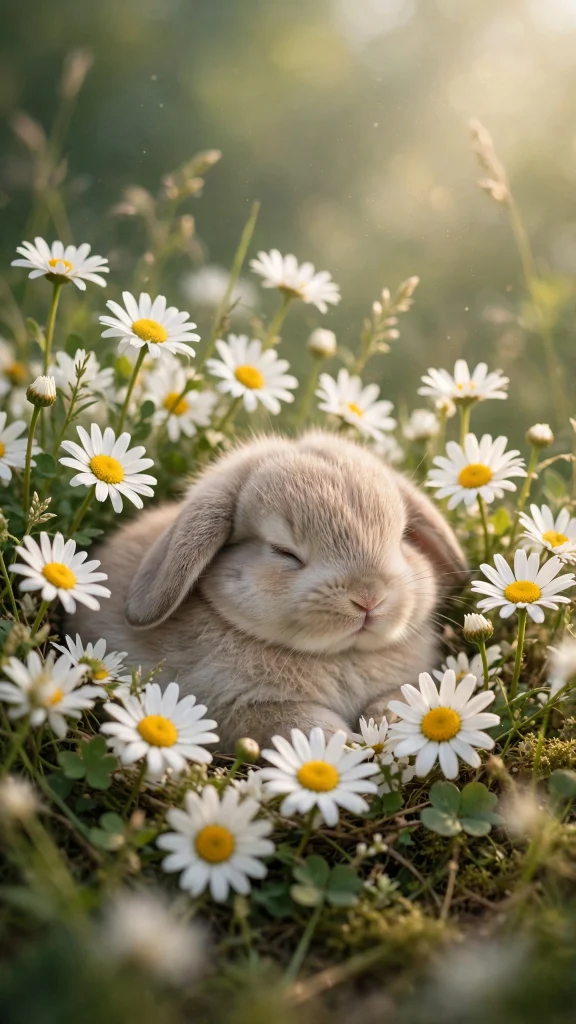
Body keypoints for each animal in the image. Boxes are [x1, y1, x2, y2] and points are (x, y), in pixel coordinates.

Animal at [72, 431, 467, 751]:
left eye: (402, 539)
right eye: (284, 552)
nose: (369, 597)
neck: (339, 655)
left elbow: (403, 696)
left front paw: (390, 720)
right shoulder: (235, 710)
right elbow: (297, 723)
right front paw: (346, 743)